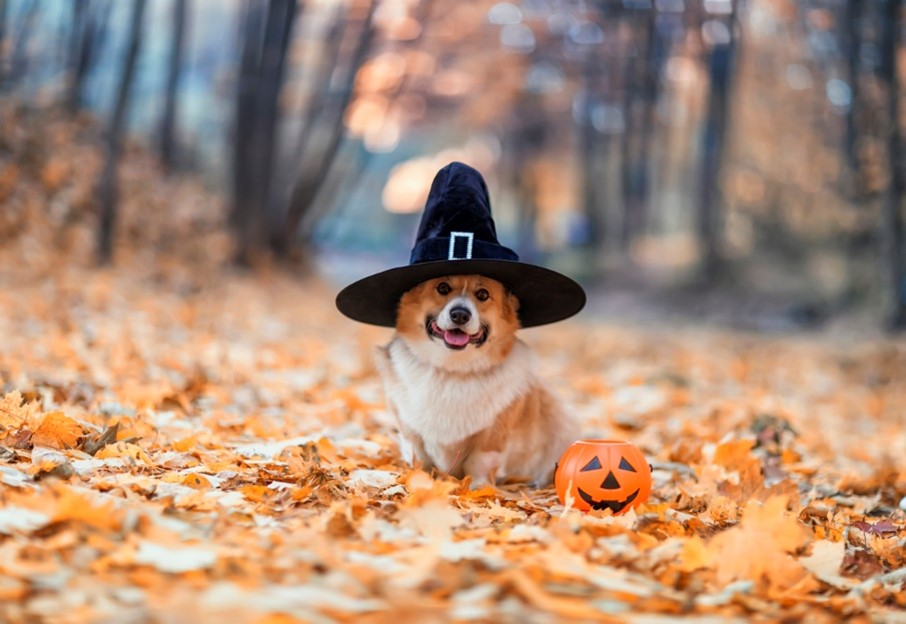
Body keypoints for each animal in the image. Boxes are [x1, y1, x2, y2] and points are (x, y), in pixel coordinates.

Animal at [374, 274, 580, 488]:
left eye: (483, 294)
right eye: (442, 287)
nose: (460, 315)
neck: (452, 369)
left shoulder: (491, 437)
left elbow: (479, 462)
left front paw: (478, 488)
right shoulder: (409, 428)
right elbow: (418, 457)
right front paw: (419, 479)